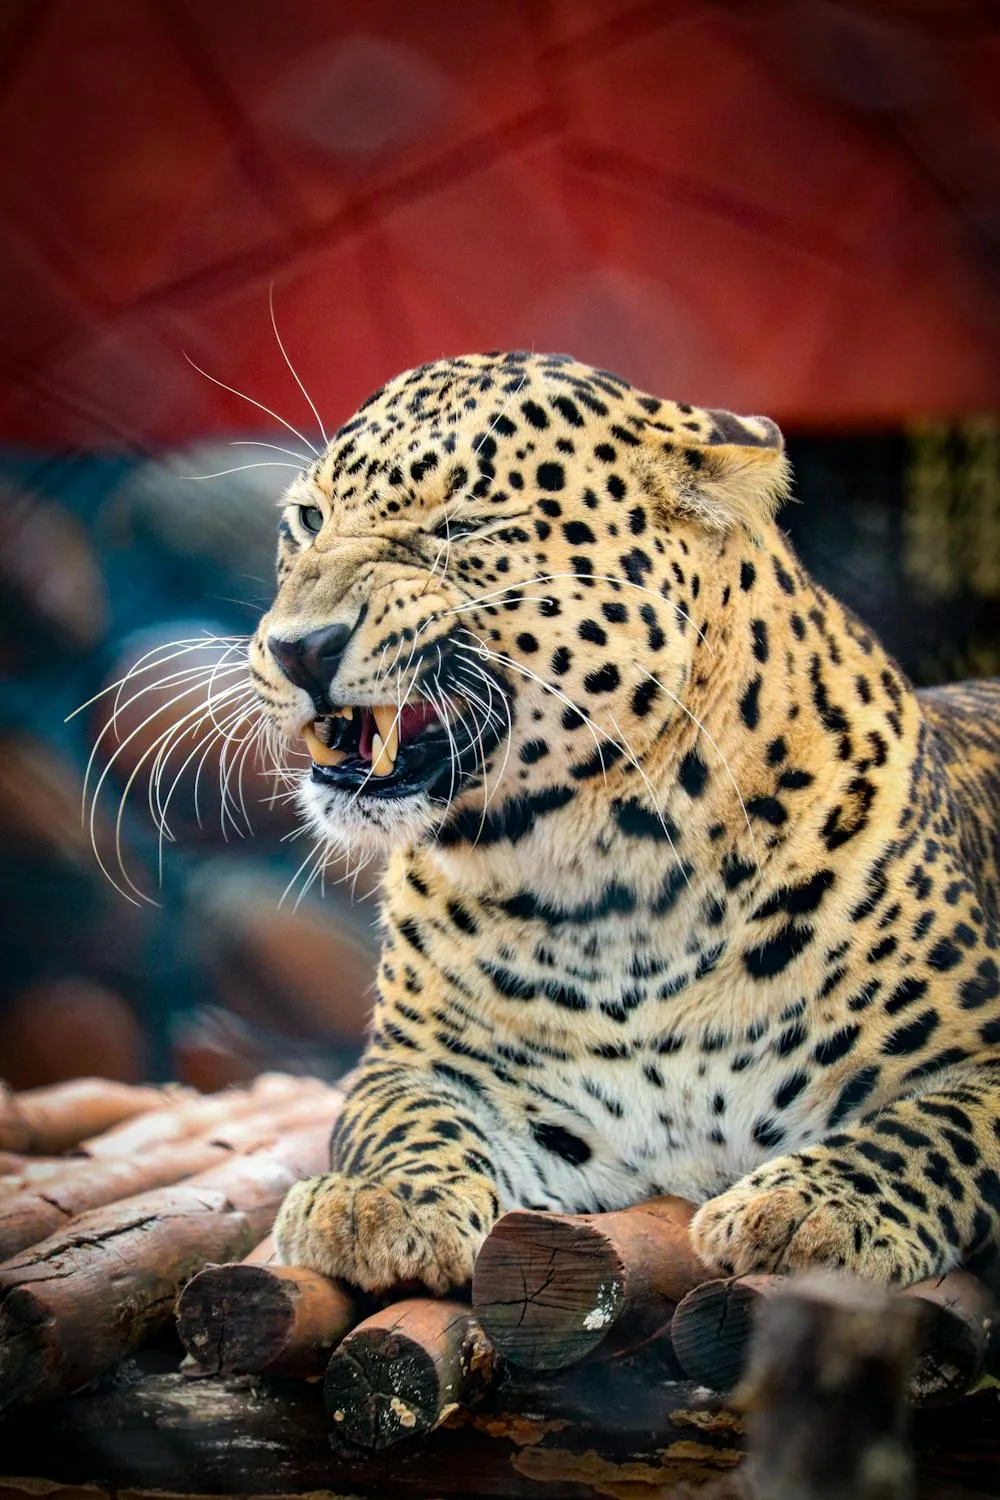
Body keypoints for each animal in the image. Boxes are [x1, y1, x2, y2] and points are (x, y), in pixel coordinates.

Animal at [247, 350, 1000, 1296]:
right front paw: (378, 1202)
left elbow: (924, 1131)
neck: (614, 886)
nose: (297, 648)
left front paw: (812, 1209)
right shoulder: (426, 1068)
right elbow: (402, 1120)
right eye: (307, 520)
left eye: (461, 528)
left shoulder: (976, 1067)